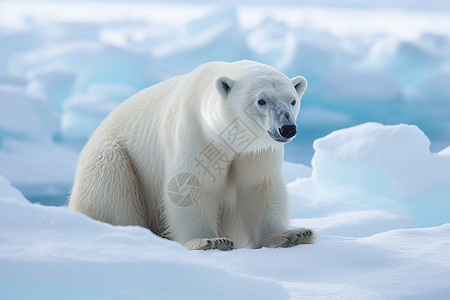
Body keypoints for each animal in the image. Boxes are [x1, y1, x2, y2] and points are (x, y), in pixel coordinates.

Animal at [69, 59, 312, 250]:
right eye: (261, 101)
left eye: (292, 100)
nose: (287, 128)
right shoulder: (193, 131)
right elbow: (190, 185)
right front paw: (210, 241)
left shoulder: (256, 151)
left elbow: (259, 186)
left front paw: (293, 235)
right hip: (110, 156)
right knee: (112, 183)